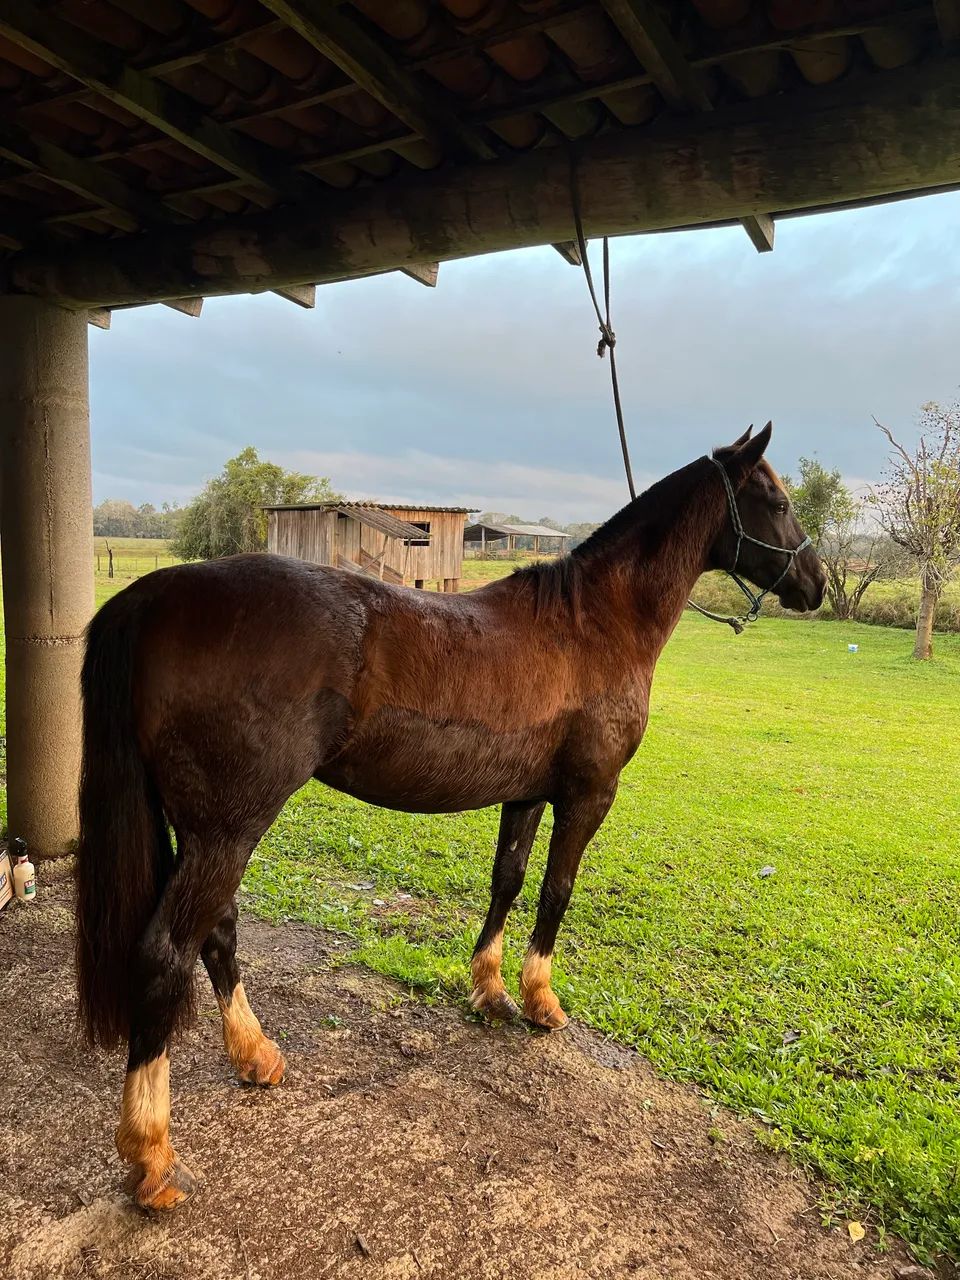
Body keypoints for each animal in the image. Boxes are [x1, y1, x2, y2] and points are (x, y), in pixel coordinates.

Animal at [75, 424, 825, 1210]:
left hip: (205, 828)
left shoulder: (526, 793)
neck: (595, 624)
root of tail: (156, 593)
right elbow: (556, 892)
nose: (818, 584)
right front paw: (540, 999)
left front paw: (490, 989)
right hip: (229, 828)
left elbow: (508, 881)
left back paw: (255, 1055)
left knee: (216, 933)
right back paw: (152, 1153)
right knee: (166, 952)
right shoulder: (589, 795)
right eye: (776, 501)